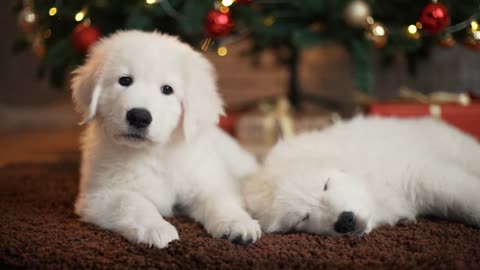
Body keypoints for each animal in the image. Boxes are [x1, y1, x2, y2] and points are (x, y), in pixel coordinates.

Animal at [71, 30, 260, 248]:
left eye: (167, 89)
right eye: (124, 80)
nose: (139, 117)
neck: (154, 153)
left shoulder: (206, 179)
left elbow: (220, 199)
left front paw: (238, 223)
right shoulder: (99, 195)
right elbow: (132, 202)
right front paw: (155, 228)